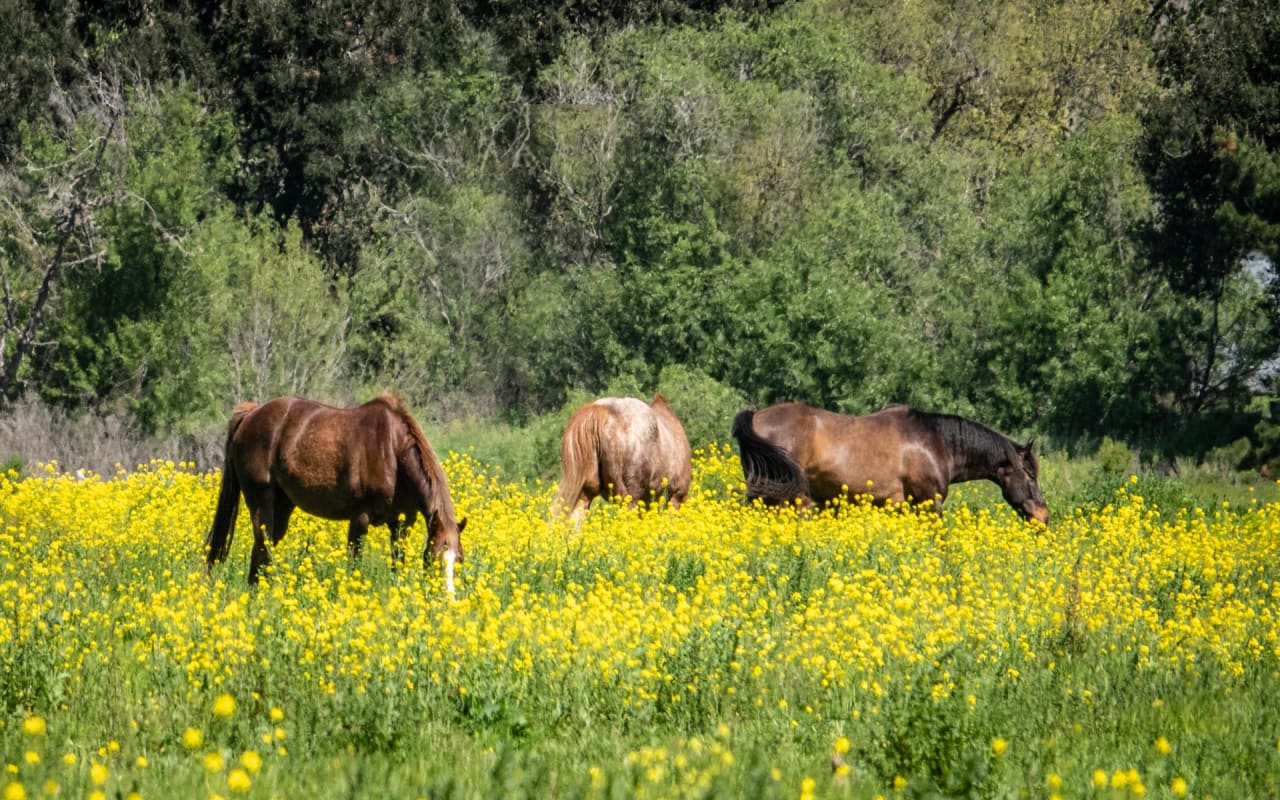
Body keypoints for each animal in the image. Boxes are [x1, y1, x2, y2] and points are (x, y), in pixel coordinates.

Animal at [207, 396, 468, 588]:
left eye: (460, 560)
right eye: (435, 558)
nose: (448, 600)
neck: (393, 452)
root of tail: (251, 414)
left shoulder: (402, 523)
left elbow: (398, 563)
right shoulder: (360, 518)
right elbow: (354, 563)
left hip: (282, 506)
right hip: (261, 502)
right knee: (262, 550)